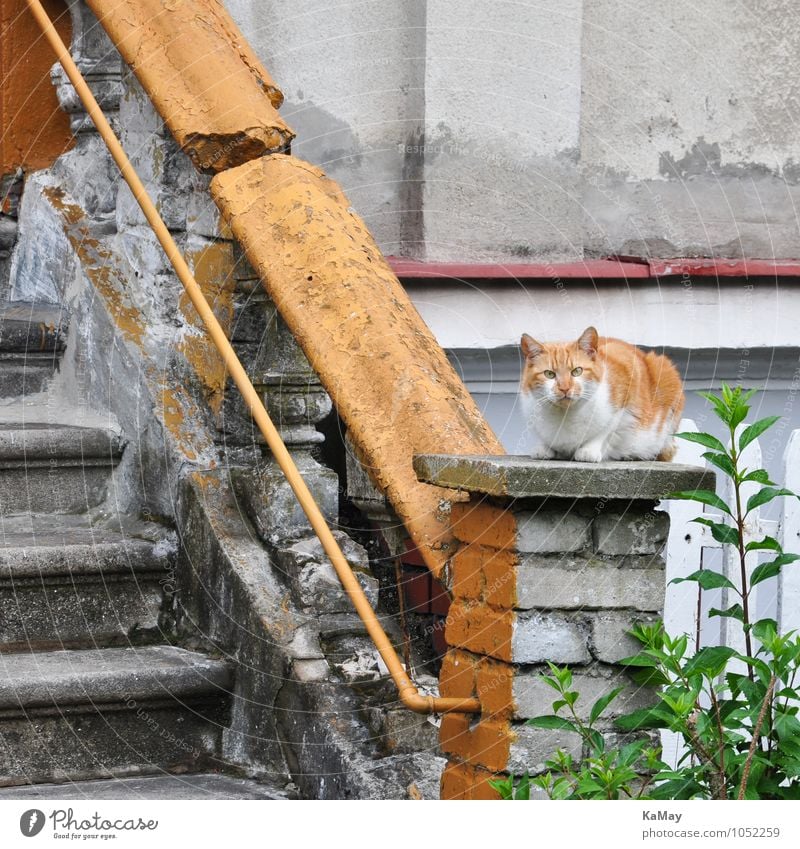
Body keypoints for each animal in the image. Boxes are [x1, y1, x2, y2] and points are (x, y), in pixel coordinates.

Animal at [520, 326, 684, 460]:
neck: (565, 415)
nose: (565, 388)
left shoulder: (628, 378)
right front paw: (543, 447)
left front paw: (589, 450)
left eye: (577, 371)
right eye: (549, 374)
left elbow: (606, 430)